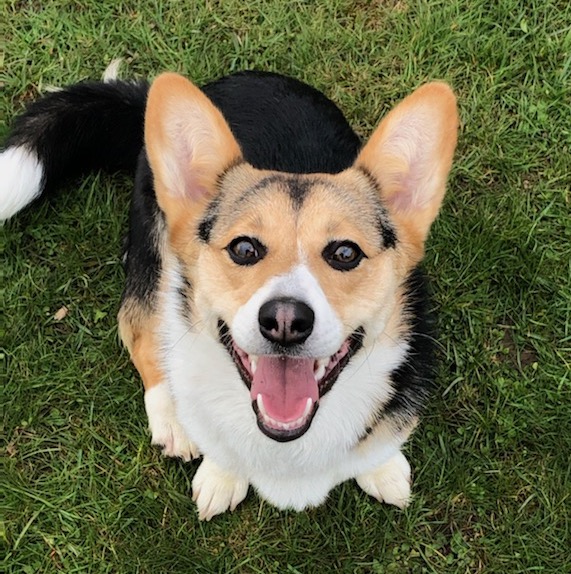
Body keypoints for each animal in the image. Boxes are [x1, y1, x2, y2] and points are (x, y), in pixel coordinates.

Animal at [0, 68, 456, 520]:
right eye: (244, 249)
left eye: (345, 253)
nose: (285, 320)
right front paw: (221, 476)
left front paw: (382, 469)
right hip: (156, 256)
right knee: (139, 329)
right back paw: (171, 417)